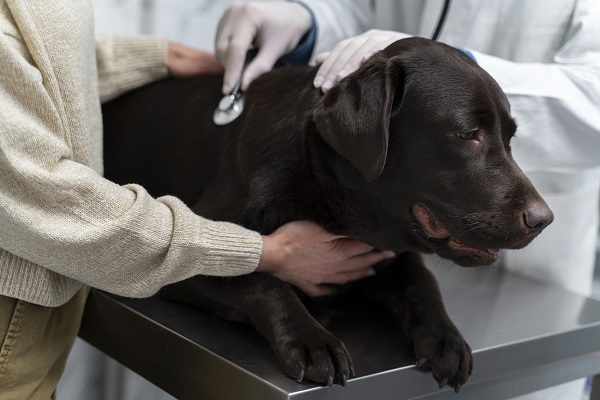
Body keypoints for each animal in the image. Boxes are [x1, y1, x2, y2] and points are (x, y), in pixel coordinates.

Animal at [102, 39, 552, 392]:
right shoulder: (193, 251)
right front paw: (311, 339)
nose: (544, 220)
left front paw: (446, 336)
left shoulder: (390, 253)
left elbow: (422, 281)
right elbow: (263, 281)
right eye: (467, 134)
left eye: (510, 138)